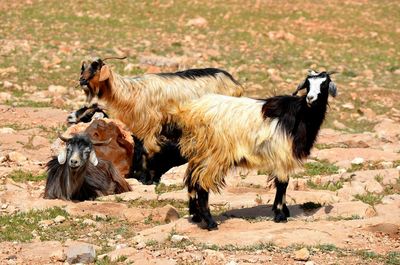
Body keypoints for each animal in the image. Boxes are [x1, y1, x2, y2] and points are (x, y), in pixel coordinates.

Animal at [170, 70, 338, 229]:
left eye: (324, 84)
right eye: (308, 84)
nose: (310, 98)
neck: (301, 114)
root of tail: (191, 112)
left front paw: (284, 211)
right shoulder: (282, 153)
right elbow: (282, 183)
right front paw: (280, 215)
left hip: (198, 152)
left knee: (191, 179)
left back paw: (196, 216)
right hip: (214, 154)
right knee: (202, 183)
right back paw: (210, 222)